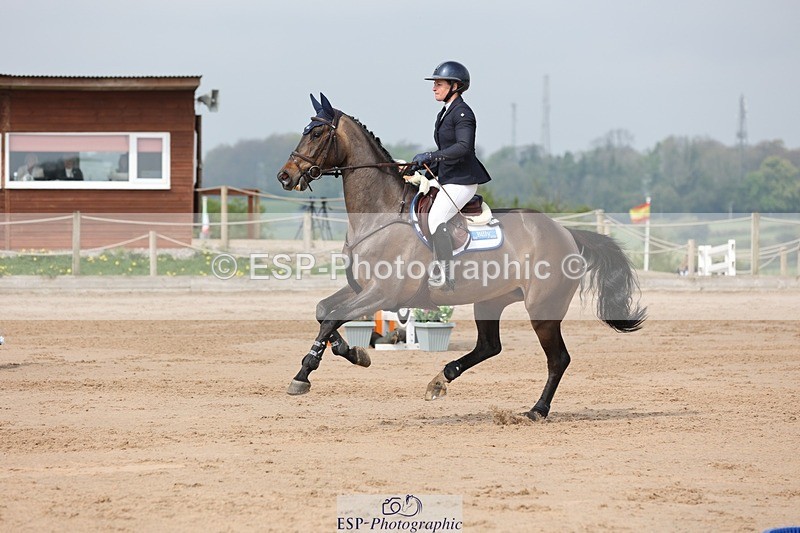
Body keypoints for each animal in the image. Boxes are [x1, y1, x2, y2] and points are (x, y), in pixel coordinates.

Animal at [276, 93, 646, 420]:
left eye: (317, 133)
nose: (285, 176)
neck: (381, 213)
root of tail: (566, 233)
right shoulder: (361, 288)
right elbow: (324, 311)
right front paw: (353, 352)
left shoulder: (383, 293)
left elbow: (330, 319)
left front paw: (303, 374)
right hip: (491, 300)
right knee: (489, 346)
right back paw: (440, 380)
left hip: (543, 308)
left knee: (558, 359)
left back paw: (536, 410)